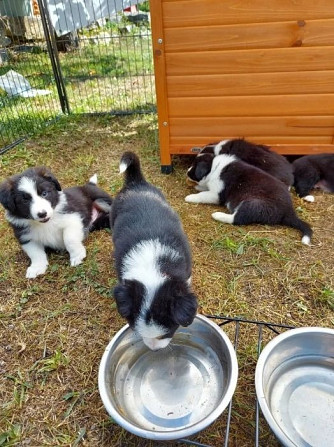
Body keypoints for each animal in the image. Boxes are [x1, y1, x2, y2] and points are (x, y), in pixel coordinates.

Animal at [185, 153, 314, 245]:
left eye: (194, 166)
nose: (187, 172)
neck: (214, 166)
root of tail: (289, 212)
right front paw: (197, 186)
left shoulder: (216, 194)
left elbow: (203, 195)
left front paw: (190, 197)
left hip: (253, 204)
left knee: (237, 219)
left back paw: (218, 215)